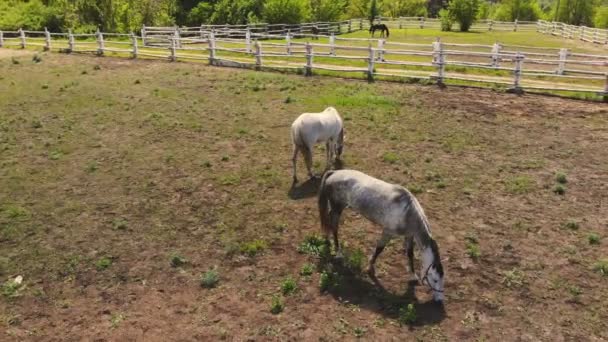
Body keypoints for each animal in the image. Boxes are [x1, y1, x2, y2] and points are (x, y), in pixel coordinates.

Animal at [320, 169, 444, 302]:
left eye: (443, 278)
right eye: (435, 279)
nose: (439, 300)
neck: (408, 213)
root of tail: (334, 172)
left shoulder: (409, 236)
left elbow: (410, 254)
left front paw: (412, 275)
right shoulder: (387, 232)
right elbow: (379, 249)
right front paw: (370, 268)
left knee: (328, 221)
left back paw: (327, 239)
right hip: (338, 207)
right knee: (334, 227)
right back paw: (338, 253)